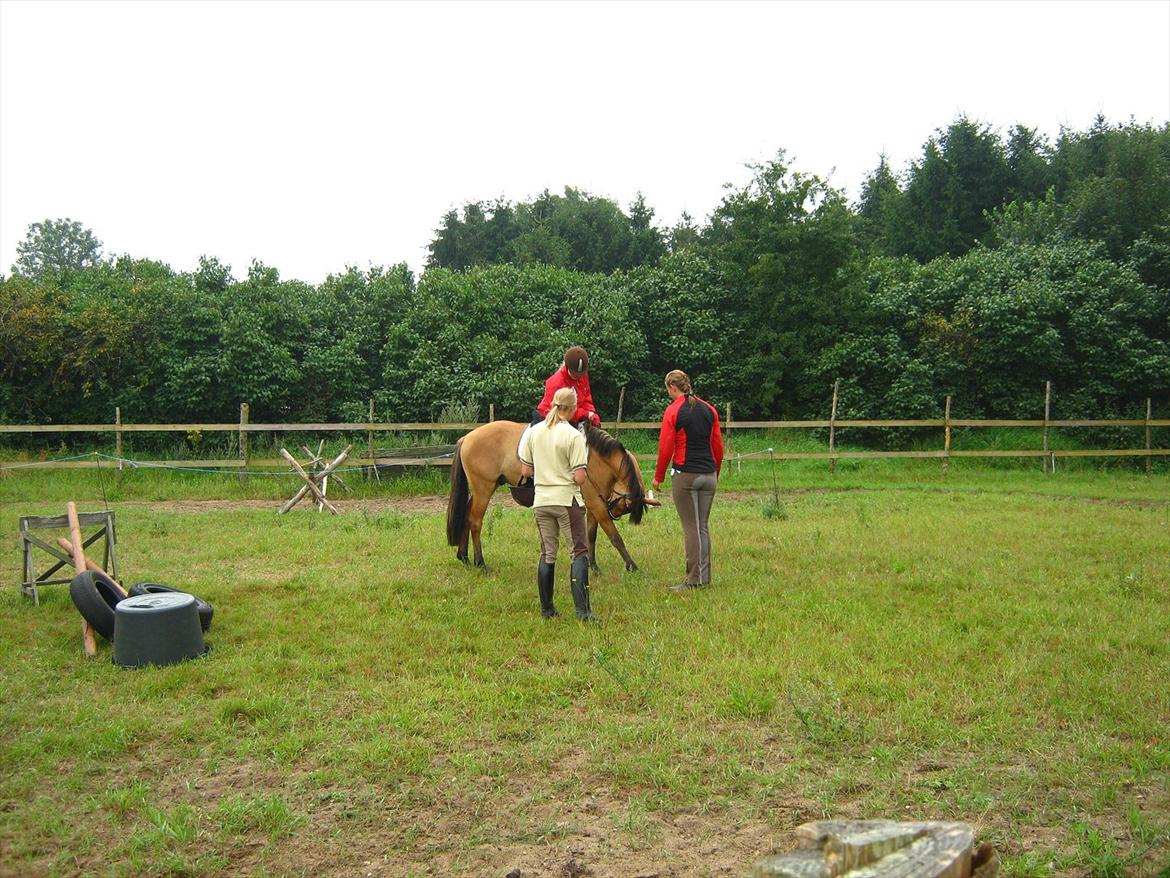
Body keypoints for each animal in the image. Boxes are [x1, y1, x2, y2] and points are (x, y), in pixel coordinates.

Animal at [446, 420, 659, 571]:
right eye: (626, 505)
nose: (613, 511)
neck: (594, 457)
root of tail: (467, 437)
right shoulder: (597, 505)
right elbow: (615, 536)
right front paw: (632, 565)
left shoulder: (594, 504)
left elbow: (591, 535)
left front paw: (593, 566)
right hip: (484, 488)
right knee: (475, 521)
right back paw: (480, 562)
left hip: (481, 489)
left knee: (466, 515)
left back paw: (464, 556)